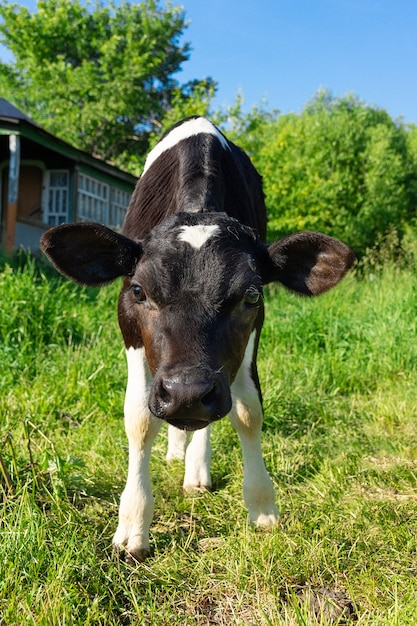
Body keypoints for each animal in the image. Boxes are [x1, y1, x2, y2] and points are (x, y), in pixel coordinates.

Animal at [39, 116, 354, 560]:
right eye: (140, 291)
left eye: (251, 294)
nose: (187, 393)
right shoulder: (129, 326)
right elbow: (140, 418)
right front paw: (133, 524)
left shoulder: (252, 335)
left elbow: (247, 413)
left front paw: (262, 506)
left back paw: (195, 467)